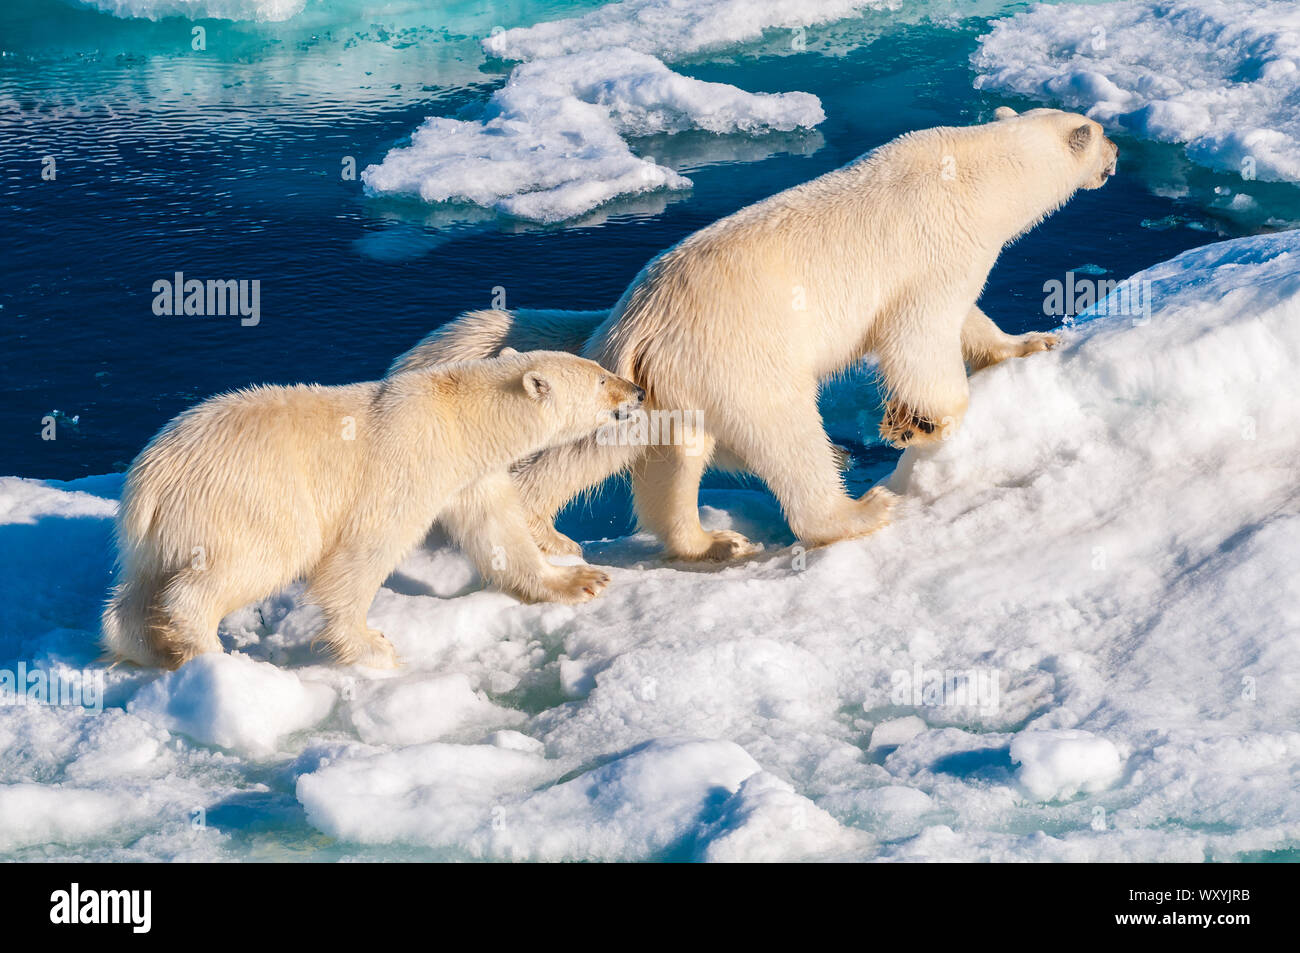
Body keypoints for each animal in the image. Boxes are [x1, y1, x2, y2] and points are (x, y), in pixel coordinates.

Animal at [100, 350, 644, 670]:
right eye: (601, 380)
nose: (637, 391)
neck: (458, 418)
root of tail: (149, 480)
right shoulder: (407, 467)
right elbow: (363, 553)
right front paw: (370, 644)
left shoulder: (469, 476)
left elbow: (498, 530)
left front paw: (578, 580)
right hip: (249, 497)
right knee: (256, 560)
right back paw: (214, 656)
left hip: (163, 530)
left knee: (138, 589)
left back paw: (148, 647)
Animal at [391, 107, 1119, 601]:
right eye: (1095, 126)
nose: (1115, 148)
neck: (972, 170)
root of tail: (634, 318)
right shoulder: (935, 248)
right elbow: (921, 332)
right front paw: (920, 422)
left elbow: (969, 318)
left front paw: (1030, 342)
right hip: (737, 357)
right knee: (786, 434)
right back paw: (856, 511)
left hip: (657, 379)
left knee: (647, 450)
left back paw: (704, 540)